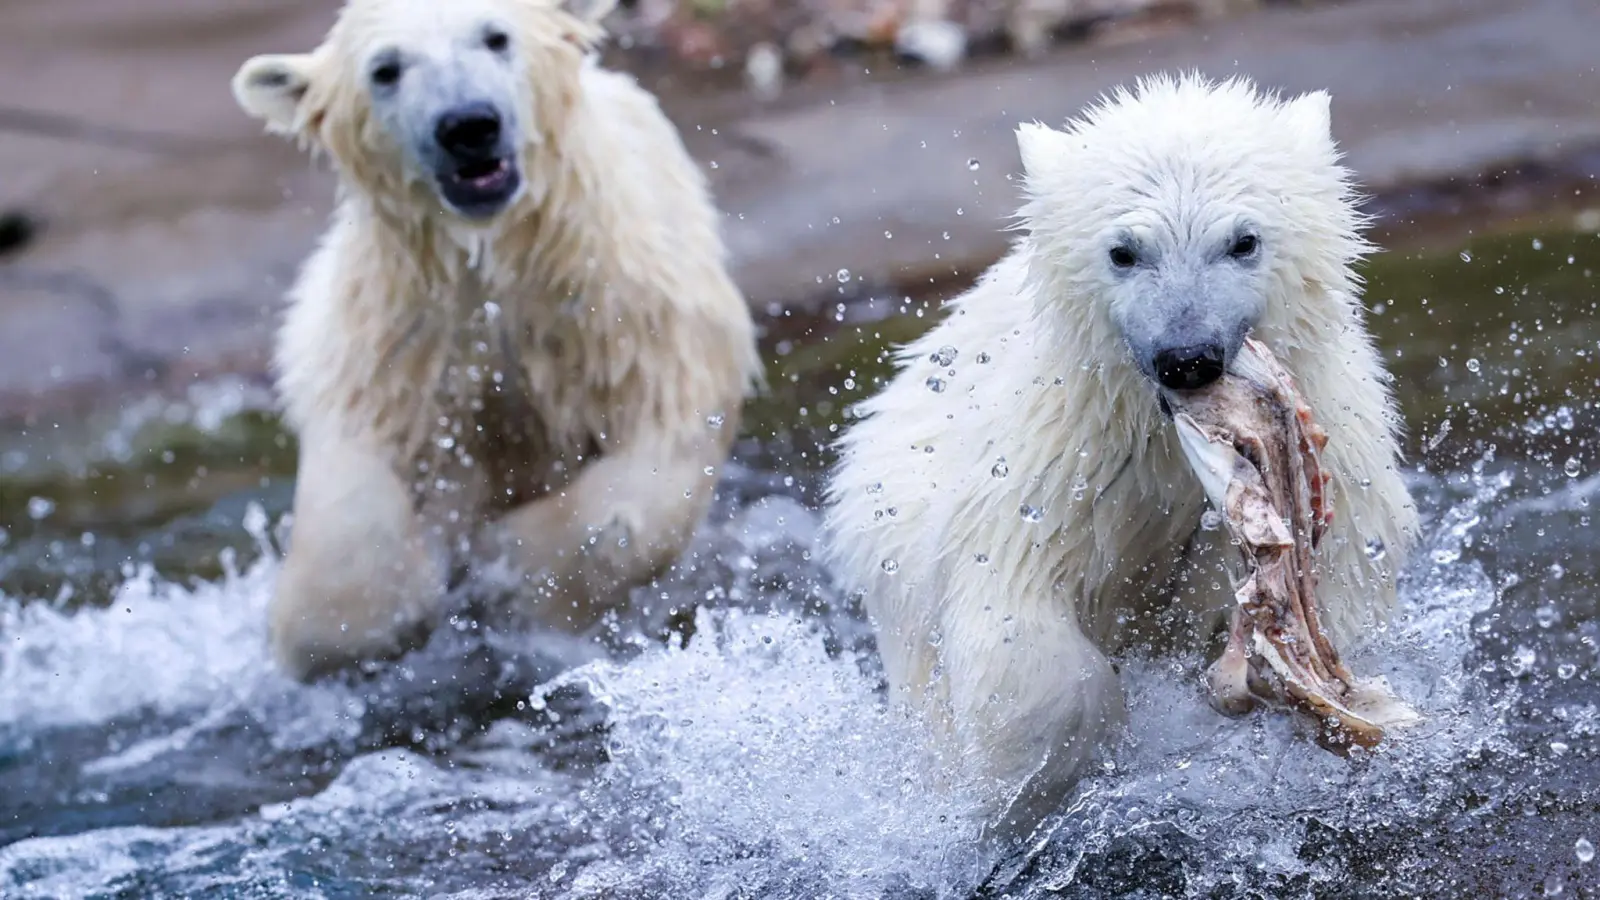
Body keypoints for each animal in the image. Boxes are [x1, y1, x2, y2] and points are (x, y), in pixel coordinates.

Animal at [227, 0, 768, 675]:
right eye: (385, 69)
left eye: (495, 36)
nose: (468, 126)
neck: (496, 259)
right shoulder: (395, 340)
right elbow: (354, 493)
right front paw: (357, 620)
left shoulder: (629, 314)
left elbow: (651, 469)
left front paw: (523, 565)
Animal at [825, 73, 1427, 839]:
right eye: (1123, 251)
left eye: (1245, 241)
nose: (1187, 357)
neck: (1161, 431)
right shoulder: (1058, 459)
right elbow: (1016, 615)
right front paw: (1020, 789)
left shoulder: (1340, 447)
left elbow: (1339, 586)